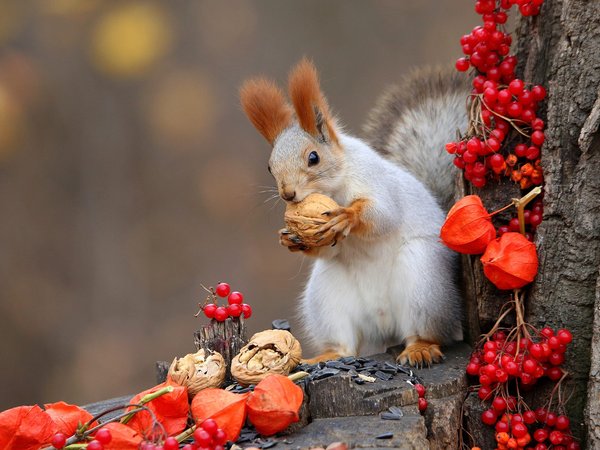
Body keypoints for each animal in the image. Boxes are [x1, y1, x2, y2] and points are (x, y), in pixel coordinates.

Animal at [239, 59, 468, 366]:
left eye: (313, 157)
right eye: (269, 166)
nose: (288, 194)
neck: (333, 190)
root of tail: (384, 322)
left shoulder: (374, 179)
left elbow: (383, 214)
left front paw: (347, 217)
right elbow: (326, 248)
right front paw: (289, 238)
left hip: (424, 282)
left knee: (425, 330)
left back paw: (420, 348)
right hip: (327, 297)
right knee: (344, 345)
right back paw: (327, 356)